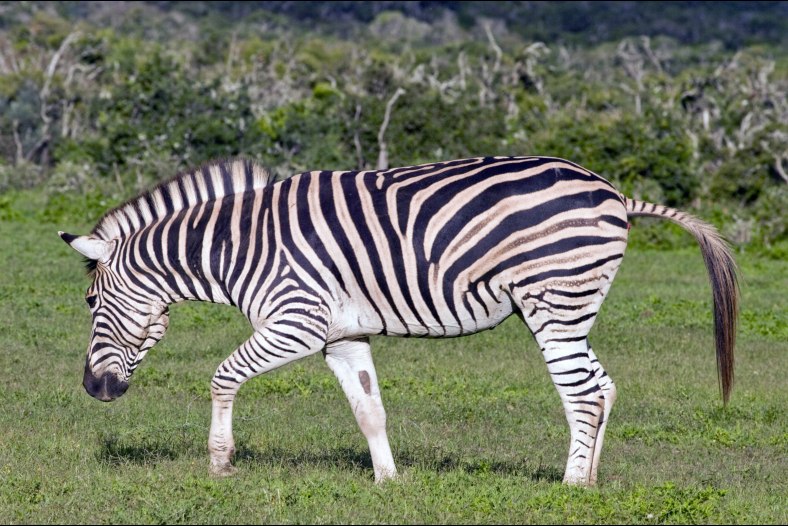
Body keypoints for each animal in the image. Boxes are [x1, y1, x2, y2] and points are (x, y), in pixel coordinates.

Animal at [59, 156, 738, 486]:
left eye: (91, 303)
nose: (93, 390)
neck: (238, 246)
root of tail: (615, 193)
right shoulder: (341, 334)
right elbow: (369, 409)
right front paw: (389, 482)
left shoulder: (296, 322)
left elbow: (223, 377)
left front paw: (220, 463)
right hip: (568, 310)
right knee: (603, 386)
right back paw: (592, 480)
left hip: (554, 302)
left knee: (583, 393)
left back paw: (571, 488)